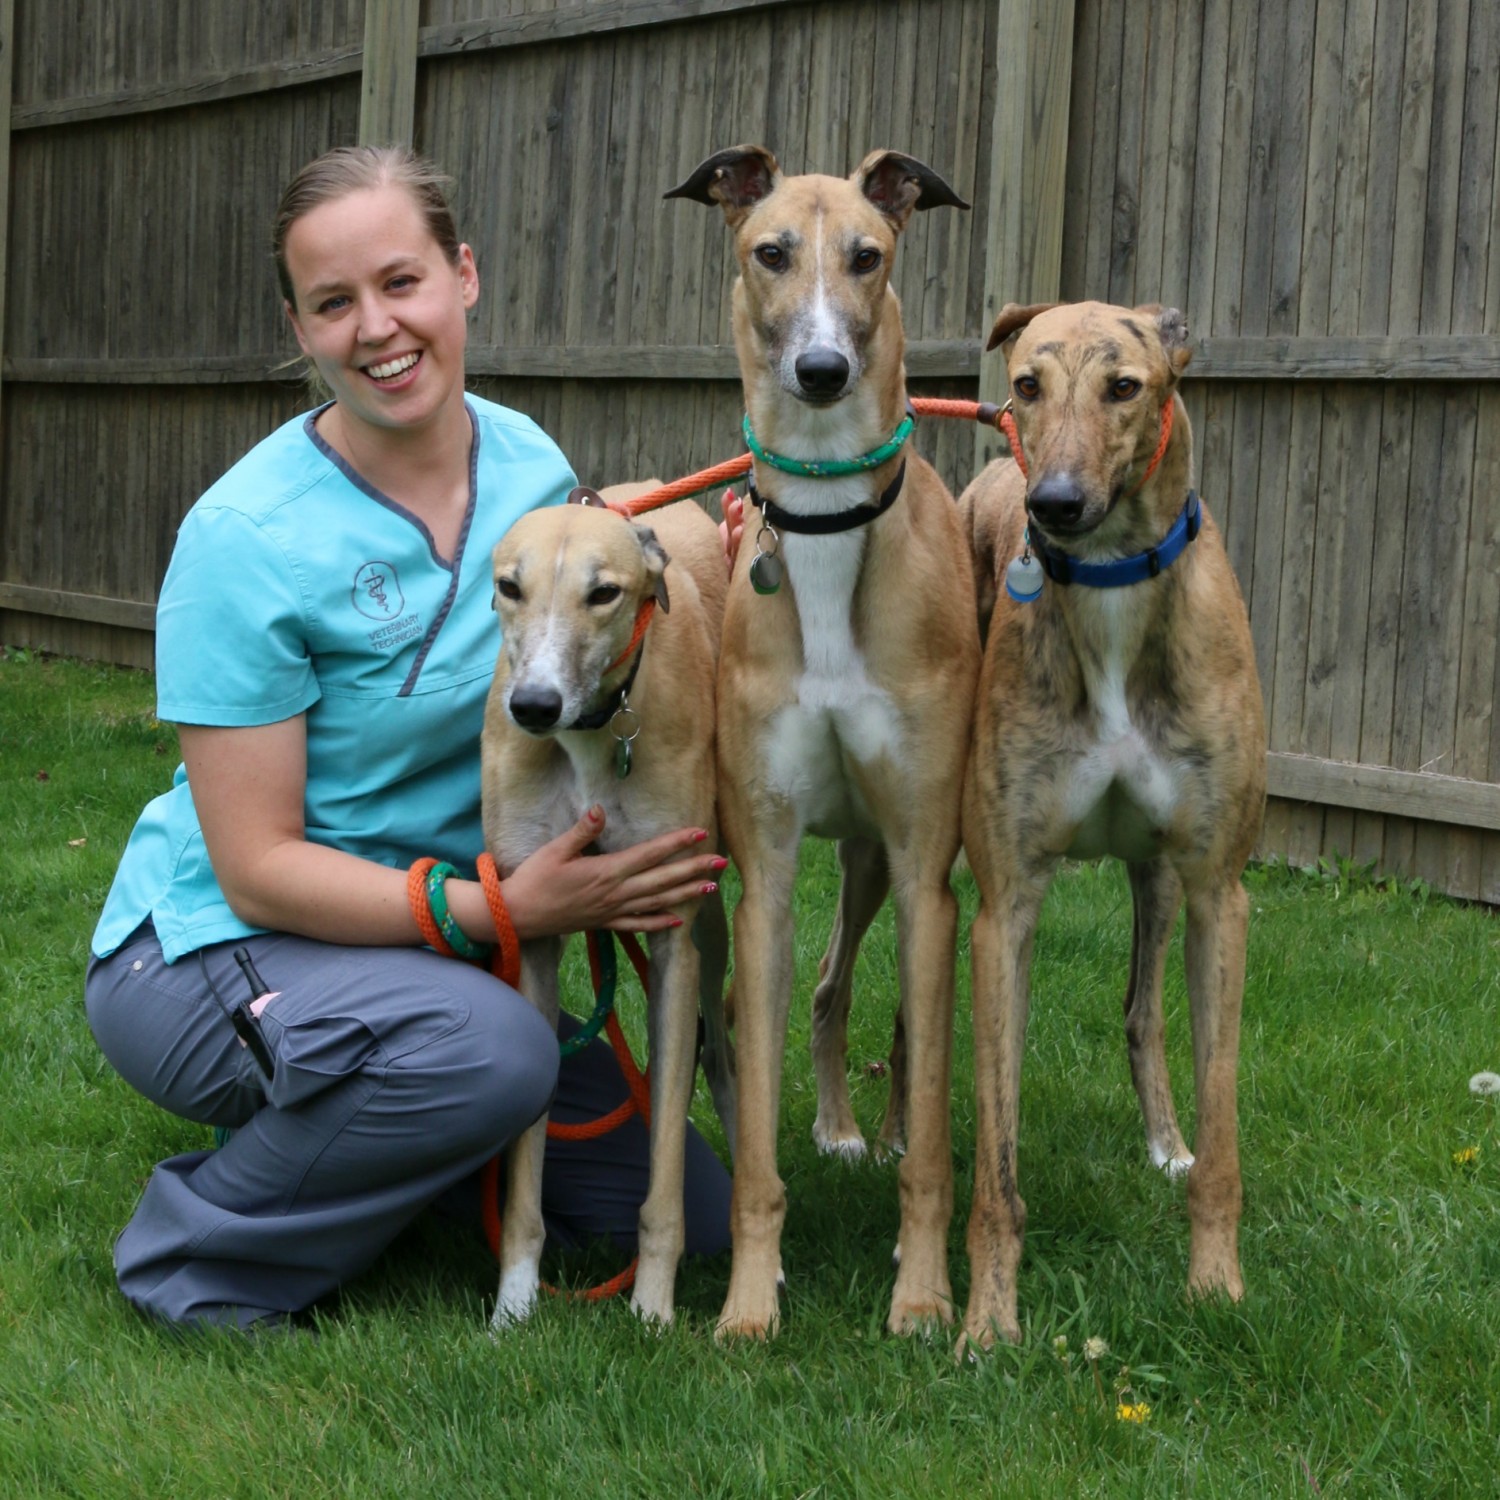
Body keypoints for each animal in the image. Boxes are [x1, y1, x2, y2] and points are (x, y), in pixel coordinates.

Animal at [480, 492, 732, 1326]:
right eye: (509, 586)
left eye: (604, 593)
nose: (533, 707)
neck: (590, 739)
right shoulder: (531, 934)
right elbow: (525, 1166)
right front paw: (513, 1304)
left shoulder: (672, 933)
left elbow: (665, 1171)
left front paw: (652, 1308)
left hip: (716, 913)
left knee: (721, 1046)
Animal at [672, 143, 984, 1338]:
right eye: (770, 253)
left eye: (868, 255)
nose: (819, 370)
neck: (824, 531)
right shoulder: (761, 873)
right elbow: (755, 1133)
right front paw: (748, 1305)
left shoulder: (925, 864)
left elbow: (935, 1127)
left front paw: (925, 1296)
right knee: (817, 992)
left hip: (884, 868)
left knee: (878, 1008)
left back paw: (870, 1132)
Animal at [960, 298, 1266, 1356]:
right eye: (1027, 384)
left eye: (1124, 386)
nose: (1053, 503)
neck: (1109, 593)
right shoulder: (1004, 907)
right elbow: (995, 1159)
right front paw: (987, 1319)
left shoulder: (1219, 894)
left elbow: (1223, 1130)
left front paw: (1215, 1286)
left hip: (1161, 881)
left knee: (1141, 1011)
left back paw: (1166, 1143)